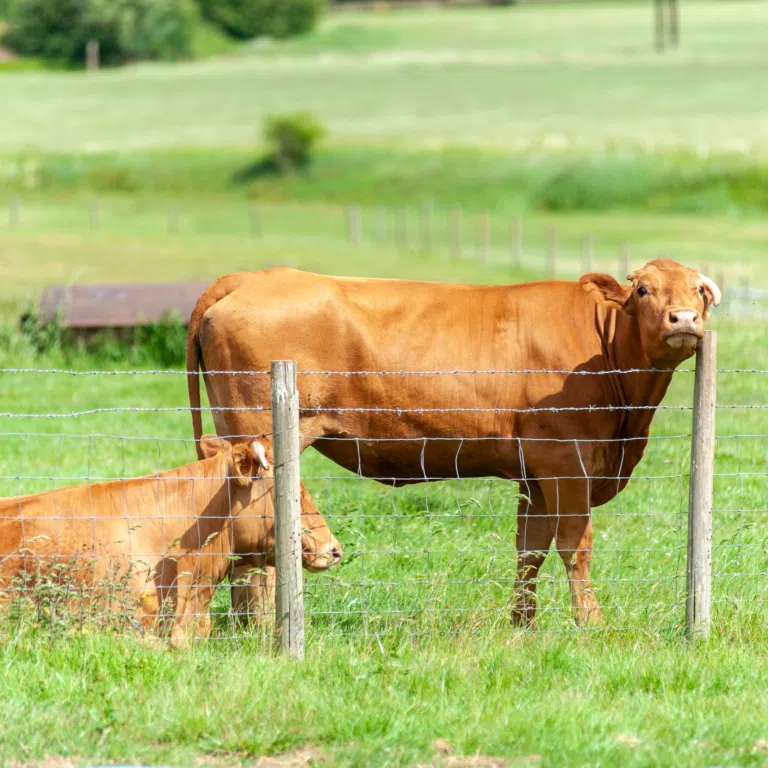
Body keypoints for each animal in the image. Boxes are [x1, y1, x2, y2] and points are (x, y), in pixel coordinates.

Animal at [186, 259, 721, 627]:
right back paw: (259, 627)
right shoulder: (566, 460)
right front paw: (590, 624)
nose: (683, 319)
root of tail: (252, 277)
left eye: (698, 289)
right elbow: (575, 546)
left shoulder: (533, 473)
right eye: (644, 289)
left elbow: (530, 549)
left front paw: (523, 626)